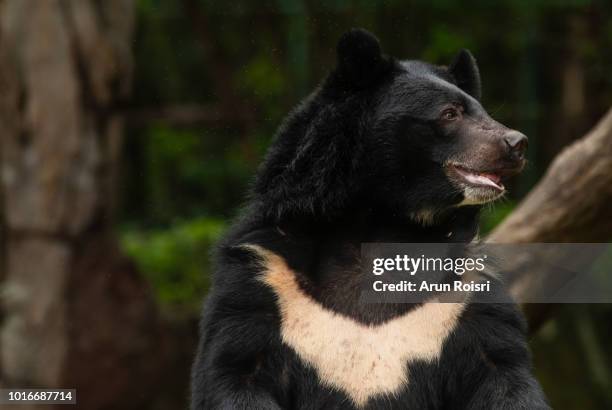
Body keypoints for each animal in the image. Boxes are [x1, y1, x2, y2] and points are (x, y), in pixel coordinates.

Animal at [189, 28, 548, 410]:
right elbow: (237, 369)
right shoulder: (264, 279)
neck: (384, 225)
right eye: (450, 113)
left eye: (483, 112)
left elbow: (501, 371)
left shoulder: (468, 295)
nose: (516, 143)